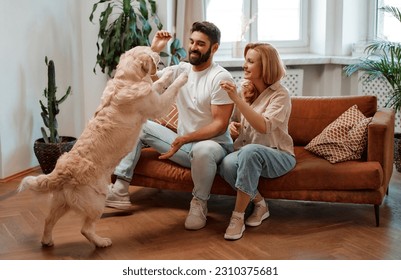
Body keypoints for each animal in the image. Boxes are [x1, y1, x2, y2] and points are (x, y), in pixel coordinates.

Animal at [18, 46, 188, 247]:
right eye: (149, 50)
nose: (158, 51)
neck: (126, 80)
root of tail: (61, 171)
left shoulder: (151, 94)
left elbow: (158, 84)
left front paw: (169, 73)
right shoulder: (157, 105)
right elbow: (170, 89)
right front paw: (180, 74)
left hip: (62, 202)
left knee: (48, 219)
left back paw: (47, 241)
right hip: (97, 199)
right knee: (85, 228)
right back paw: (101, 242)